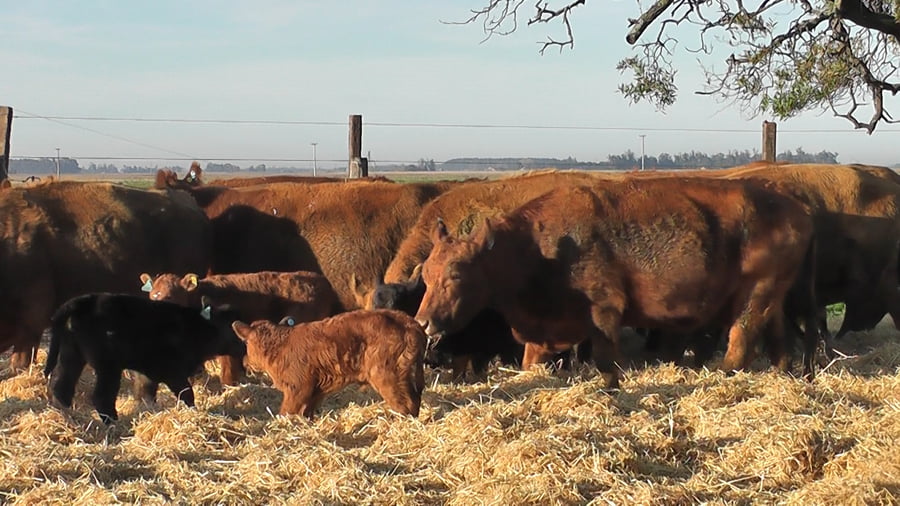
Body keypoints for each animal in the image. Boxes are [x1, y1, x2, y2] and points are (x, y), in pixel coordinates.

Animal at [43, 293, 245, 424]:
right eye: (231, 325)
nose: (244, 347)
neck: (197, 327)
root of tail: (83, 301)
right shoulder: (173, 373)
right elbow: (187, 394)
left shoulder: (147, 374)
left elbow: (147, 395)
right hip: (107, 367)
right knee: (101, 397)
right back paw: (113, 423)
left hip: (72, 357)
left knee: (62, 388)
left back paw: (69, 417)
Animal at [231, 309, 426, 418]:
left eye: (246, 343)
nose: (245, 361)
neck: (280, 346)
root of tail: (410, 322)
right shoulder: (315, 392)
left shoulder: (297, 388)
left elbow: (286, 413)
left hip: (387, 376)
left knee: (406, 404)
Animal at [414, 178, 815, 388]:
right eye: (426, 274)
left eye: (456, 275)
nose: (423, 322)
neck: (539, 245)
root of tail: (794, 205)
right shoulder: (546, 328)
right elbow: (533, 361)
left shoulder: (605, 312)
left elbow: (607, 360)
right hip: (771, 298)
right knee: (777, 341)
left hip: (754, 295)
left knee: (740, 342)